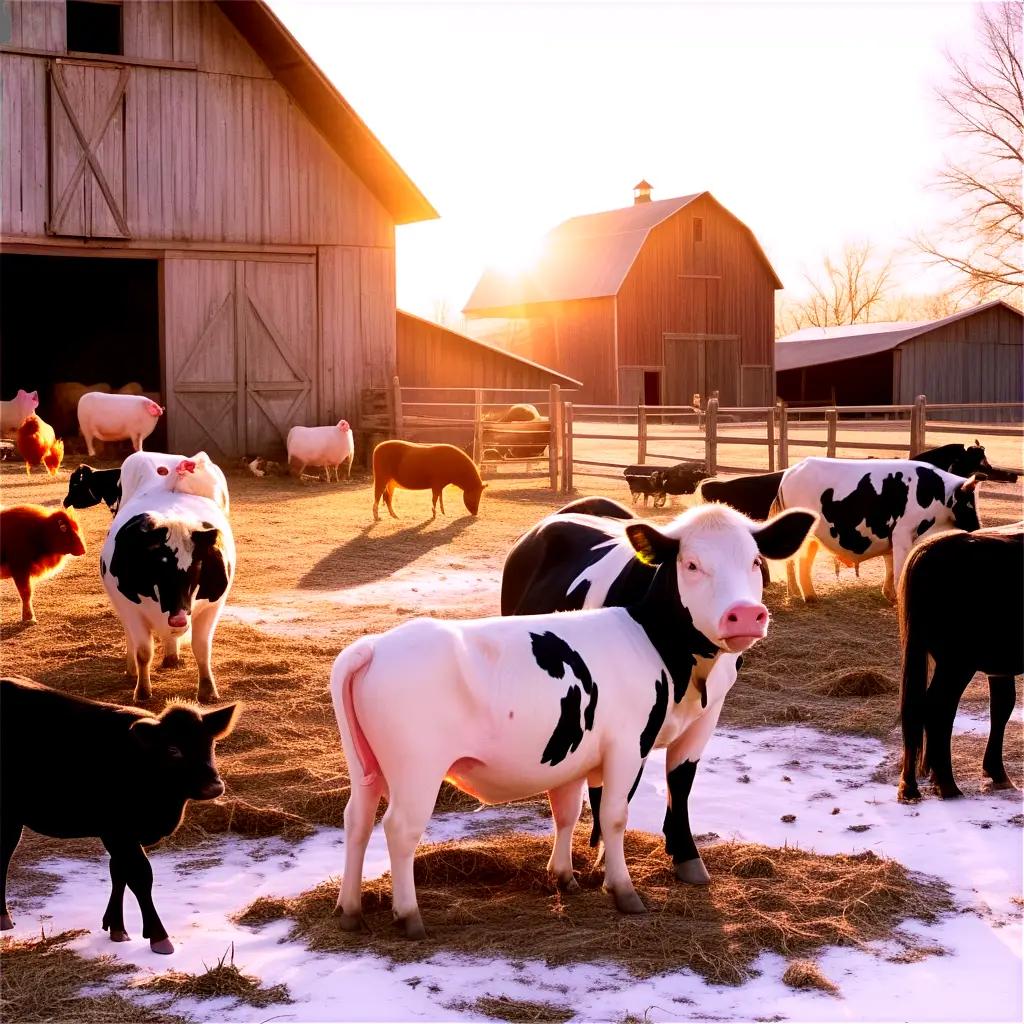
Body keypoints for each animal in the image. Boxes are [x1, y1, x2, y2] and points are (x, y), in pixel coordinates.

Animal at [1, 675, 239, 954]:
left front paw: (116, 927)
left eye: (211, 743)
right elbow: (140, 875)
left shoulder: (119, 835)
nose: (214, 786)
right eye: (173, 749)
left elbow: (119, 873)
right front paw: (159, 937)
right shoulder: (118, 831)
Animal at [327, 501, 815, 937]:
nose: (746, 614)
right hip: (416, 769)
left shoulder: (579, 750)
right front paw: (622, 889)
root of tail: (373, 646)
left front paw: (565, 875)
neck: (652, 641)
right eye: (691, 564)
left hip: (366, 766)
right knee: (399, 829)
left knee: (357, 819)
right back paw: (408, 916)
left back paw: (349, 909)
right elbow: (614, 814)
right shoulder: (627, 744)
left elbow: (569, 809)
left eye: (755, 561)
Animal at [774, 456, 983, 598]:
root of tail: (788, 473)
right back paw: (801, 594)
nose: (978, 527)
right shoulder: (902, 533)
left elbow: (890, 565)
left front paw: (888, 595)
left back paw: (804, 594)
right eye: (969, 503)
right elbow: (898, 569)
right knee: (795, 560)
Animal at [901, 524, 1019, 802]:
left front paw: (997, 773)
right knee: (938, 709)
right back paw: (947, 785)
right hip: (957, 665)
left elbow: (1002, 707)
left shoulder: (1000, 667)